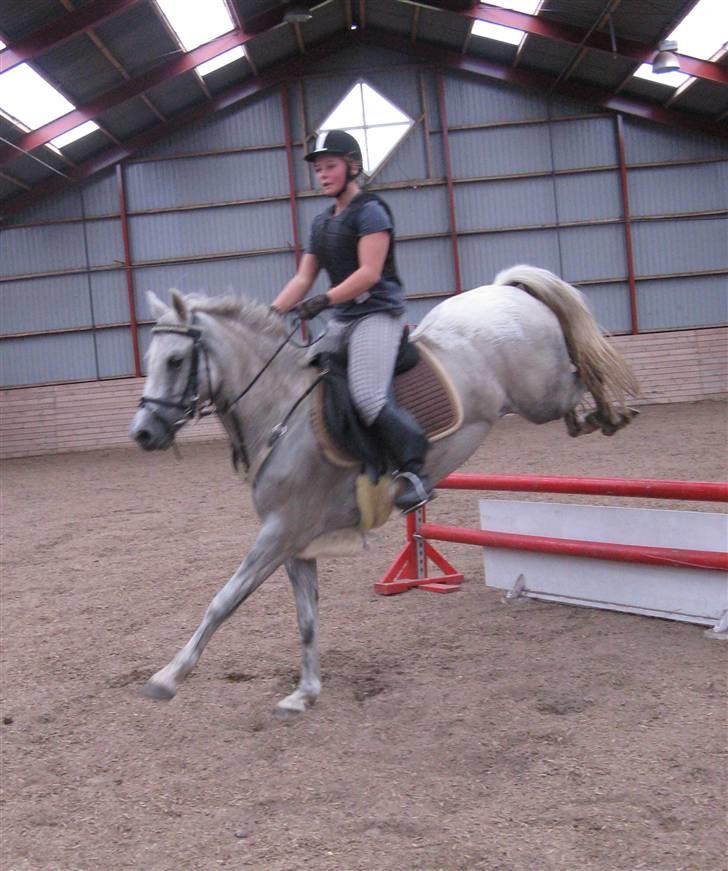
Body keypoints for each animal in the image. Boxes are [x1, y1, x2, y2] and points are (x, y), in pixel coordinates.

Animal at [129, 264, 639, 715]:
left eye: (175, 361)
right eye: (150, 362)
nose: (143, 434)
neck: (281, 411)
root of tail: (503, 289)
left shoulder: (279, 532)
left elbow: (222, 602)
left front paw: (168, 677)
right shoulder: (295, 543)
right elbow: (306, 618)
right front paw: (304, 693)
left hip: (539, 394)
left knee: (581, 370)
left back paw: (611, 412)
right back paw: (591, 419)